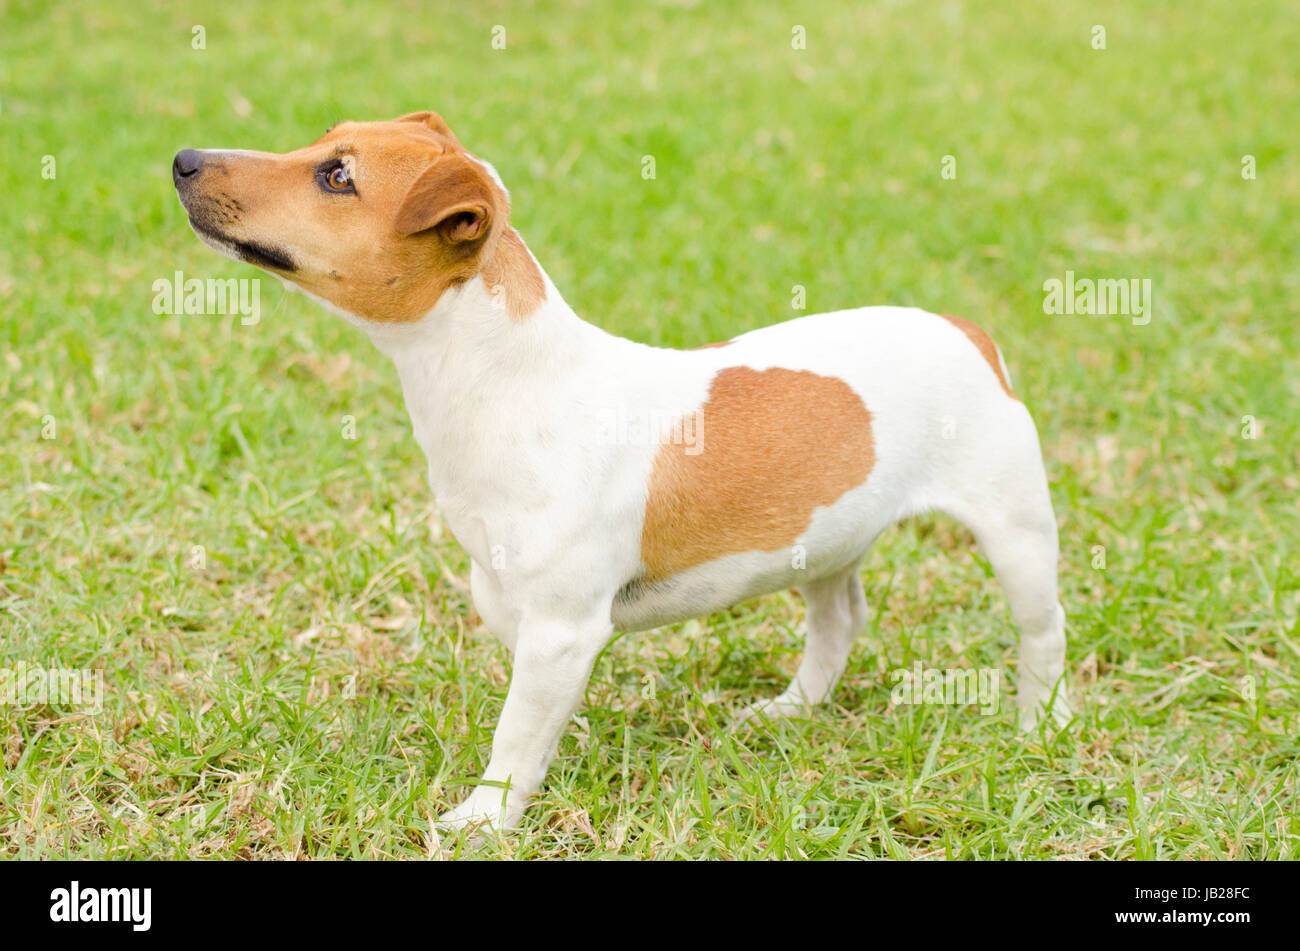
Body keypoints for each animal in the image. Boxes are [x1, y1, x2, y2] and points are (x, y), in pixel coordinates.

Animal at [170, 111, 1066, 831]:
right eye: (322, 144)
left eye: (337, 176)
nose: (182, 158)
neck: (504, 379)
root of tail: (965, 329)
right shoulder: (513, 604)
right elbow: (533, 715)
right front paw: (554, 757)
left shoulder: (563, 624)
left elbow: (513, 730)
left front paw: (484, 816)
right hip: (824, 537)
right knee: (839, 618)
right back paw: (790, 709)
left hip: (1016, 530)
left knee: (1042, 630)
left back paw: (1039, 727)